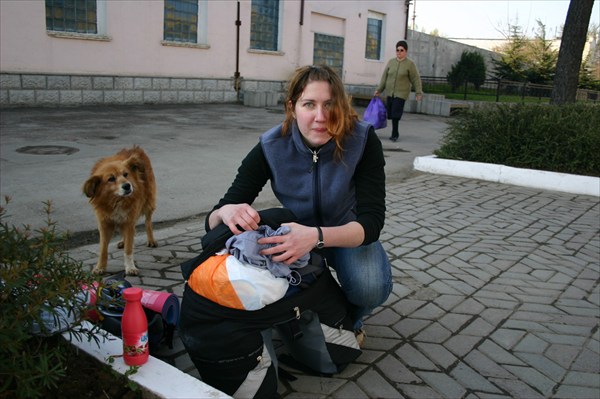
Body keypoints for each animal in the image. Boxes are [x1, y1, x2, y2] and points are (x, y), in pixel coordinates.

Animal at [82, 146, 157, 276]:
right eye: (111, 179)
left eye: (126, 174)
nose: (127, 186)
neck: (117, 200)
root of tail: (135, 148)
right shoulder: (104, 223)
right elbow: (103, 249)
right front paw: (100, 267)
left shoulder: (129, 220)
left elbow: (128, 249)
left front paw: (130, 267)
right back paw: (123, 241)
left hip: (148, 202)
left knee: (148, 222)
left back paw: (151, 240)